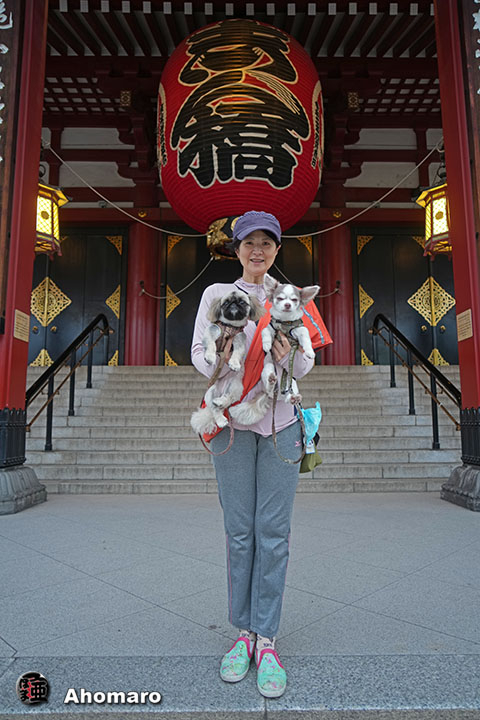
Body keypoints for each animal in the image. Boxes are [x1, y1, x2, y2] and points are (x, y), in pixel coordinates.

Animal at [190, 290, 265, 435]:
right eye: (225, 303)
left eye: (242, 302)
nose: (233, 304)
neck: (230, 327)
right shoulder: (212, 332)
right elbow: (211, 346)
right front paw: (210, 357)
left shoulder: (239, 340)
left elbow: (236, 354)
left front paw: (234, 364)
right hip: (210, 392)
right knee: (215, 410)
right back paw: (220, 419)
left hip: (235, 387)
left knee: (228, 399)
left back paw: (220, 402)